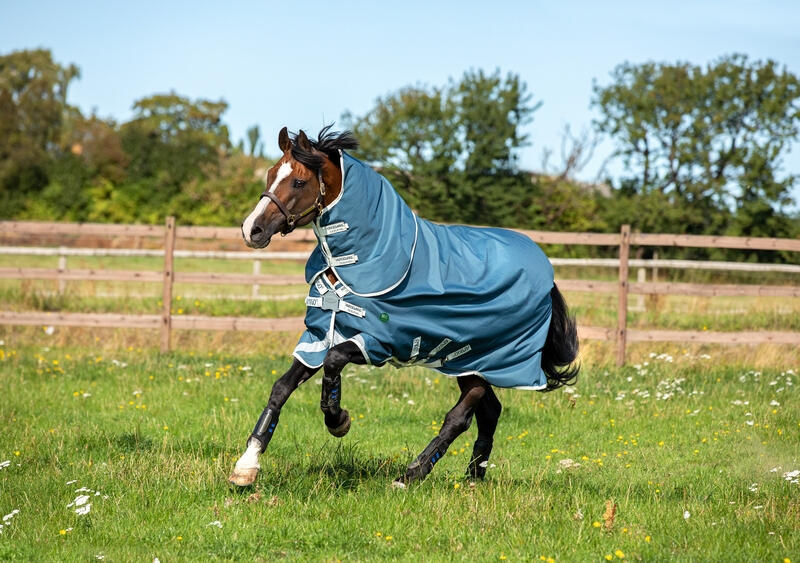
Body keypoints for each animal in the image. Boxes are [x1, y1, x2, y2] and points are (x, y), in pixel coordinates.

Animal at [229, 126, 579, 488]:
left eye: (298, 182)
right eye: (271, 174)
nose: (252, 229)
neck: (355, 263)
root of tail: (547, 275)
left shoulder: (378, 342)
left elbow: (333, 362)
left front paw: (339, 420)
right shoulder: (319, 335)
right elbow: (281, 388)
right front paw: (246, 466)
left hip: (486, 361)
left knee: (460, 417)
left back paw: (411, 474)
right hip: (468, 363)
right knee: (489, 412)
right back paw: (472, 477)